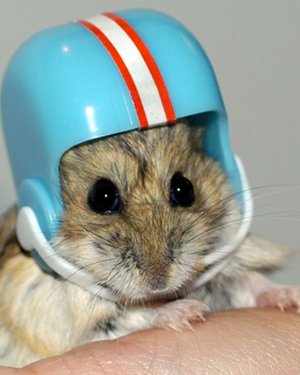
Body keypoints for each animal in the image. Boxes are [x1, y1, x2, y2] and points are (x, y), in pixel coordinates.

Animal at [0, 121, 298, 368]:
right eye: (102, 196)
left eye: (184, 189)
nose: (159, 281)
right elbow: (135, 316)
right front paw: (189, 312)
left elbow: (251, 281)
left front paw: (290, 296)